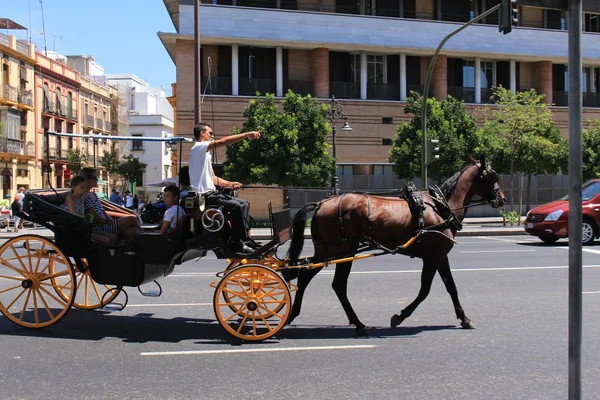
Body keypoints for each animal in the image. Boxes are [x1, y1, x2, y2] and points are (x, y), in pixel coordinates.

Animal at [286, 155, 506, 336]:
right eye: (492, 176)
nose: (502, 198)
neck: (441, 207)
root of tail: (321, 204)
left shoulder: (440, 256)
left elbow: (451, 287)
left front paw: (463, 318)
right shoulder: (433, 256)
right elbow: (425, 290)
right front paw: (400, 316)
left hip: (327, 251)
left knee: (306, 276)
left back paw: (295, 314)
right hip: (342, 250)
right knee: (337, 284)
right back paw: (357, 324)